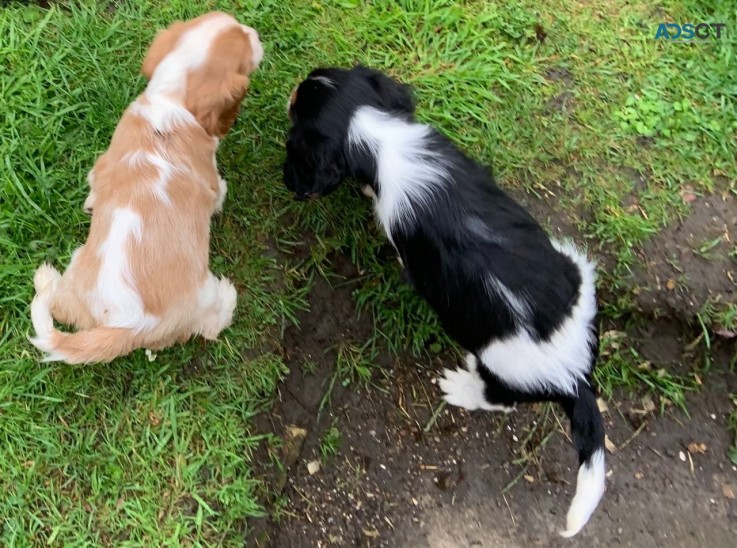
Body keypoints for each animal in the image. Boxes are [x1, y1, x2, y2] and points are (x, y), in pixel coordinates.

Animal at [29, 11, 264, 364]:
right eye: (247, 47)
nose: (254, 32)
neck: (169, 99)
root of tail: (123, 325)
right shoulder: (209, 178)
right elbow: (218, 191)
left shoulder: (101, 165)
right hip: (201, 296)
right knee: (210, 324)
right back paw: (227, 298)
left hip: (78, 264)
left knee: (58, 304)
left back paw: (46, 279)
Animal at [282, 65, 604, 536]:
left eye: (297, 108)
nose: (292, 87)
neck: (382, 138)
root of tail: (575, 375)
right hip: (576, 271)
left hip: (501, 369)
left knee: (498, 399)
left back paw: (461, 386)